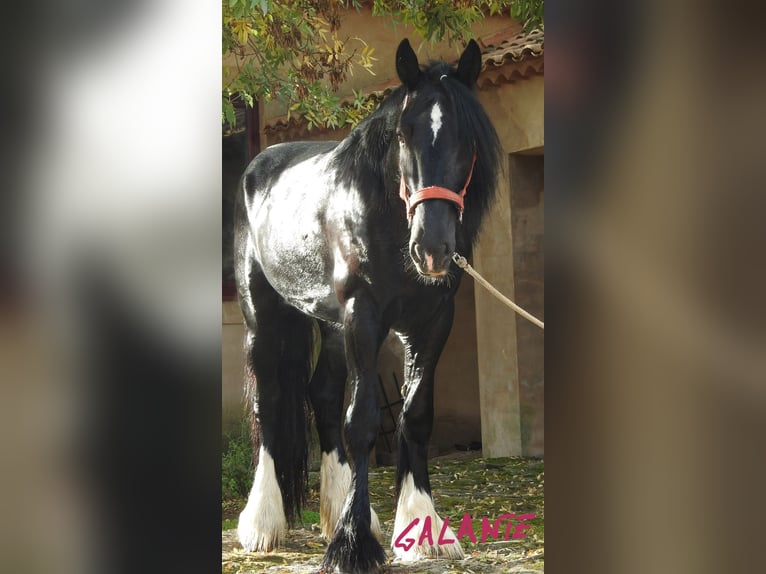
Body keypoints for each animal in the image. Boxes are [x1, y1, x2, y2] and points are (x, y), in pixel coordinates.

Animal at [237, 38, 508, 572]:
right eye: (403, 135)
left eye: (467, 137)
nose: (432, 249)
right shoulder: (364, 316)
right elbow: (361, 422)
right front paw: (353, 543)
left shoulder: (431, 322)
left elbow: (416, 414)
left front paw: (420, 527)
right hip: (264, 317)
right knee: (268, 402)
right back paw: (262, 523)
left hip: (331, 326)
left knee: (321, 395)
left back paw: (336, 511)